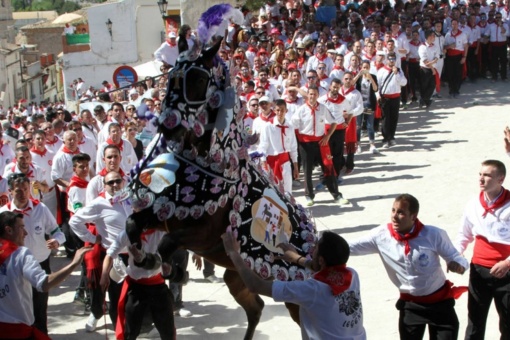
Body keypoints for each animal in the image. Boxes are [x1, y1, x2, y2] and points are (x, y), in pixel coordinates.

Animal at [121, 11, 316, 340]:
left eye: (199, 79)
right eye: (171, 77)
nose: (167, 126)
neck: (211, 166)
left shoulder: (201, 235)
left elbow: (167, 244)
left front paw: (169, 267)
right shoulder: (162, 214)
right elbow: (132, 225)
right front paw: (145, 259)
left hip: (291, 289)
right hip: (236, 276)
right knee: (255, 309)